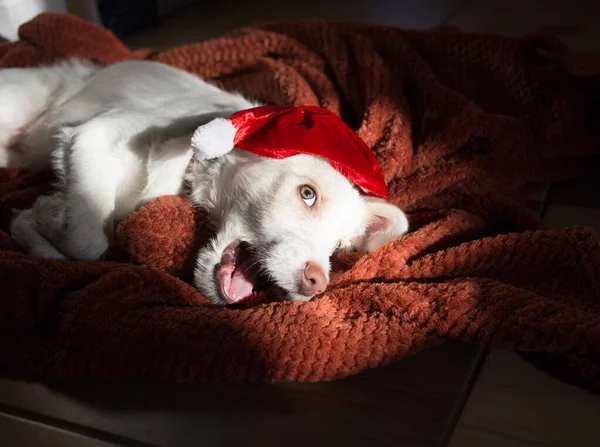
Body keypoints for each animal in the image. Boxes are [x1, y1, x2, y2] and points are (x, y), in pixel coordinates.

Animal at [0, 58, 408, 304]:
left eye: (339, 244)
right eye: (307, 194)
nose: (318, 283)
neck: (186, 169)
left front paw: (39, 219)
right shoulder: (93, 135)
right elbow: (87, 240)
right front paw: (47, 217)